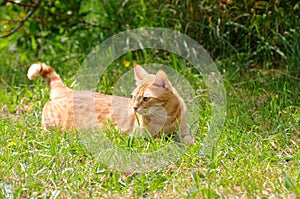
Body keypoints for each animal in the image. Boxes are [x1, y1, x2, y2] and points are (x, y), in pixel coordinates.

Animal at [27, 62, 193, 146]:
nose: (134, 107)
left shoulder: (184, 132)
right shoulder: (136, 136)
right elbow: (161, 141)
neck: (166, 118)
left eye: (146, 98)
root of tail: (69, 90)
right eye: (134, 97)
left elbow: (189, 140)